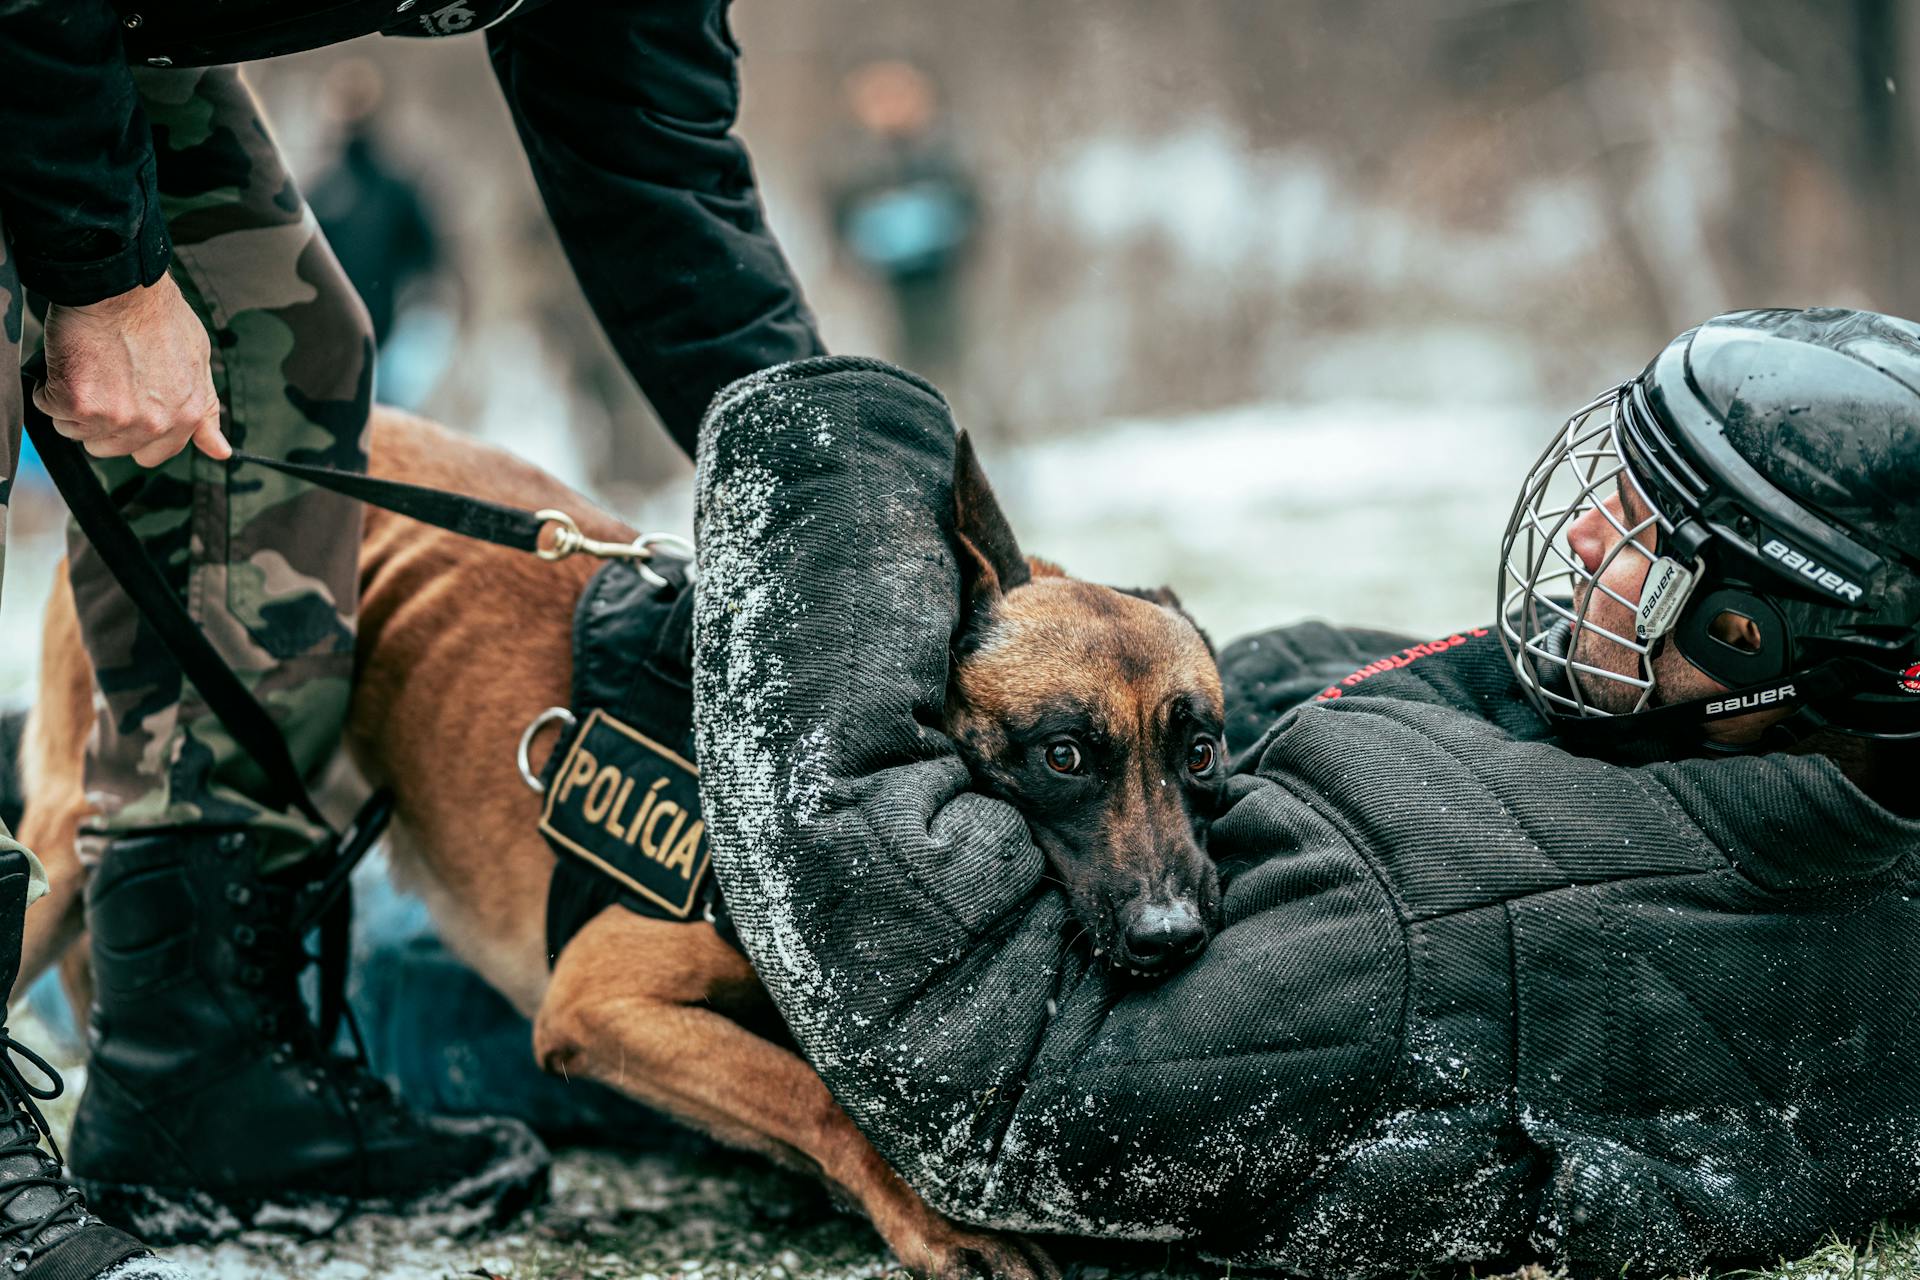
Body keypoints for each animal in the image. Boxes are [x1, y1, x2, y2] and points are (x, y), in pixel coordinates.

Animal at [18, 404, 1228, 1274]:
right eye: (1062, 755)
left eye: (1203, 753)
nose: (1174, 935)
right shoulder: (598, 1003)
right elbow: (813, 1093)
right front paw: (925, 1216)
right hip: (59, 850)